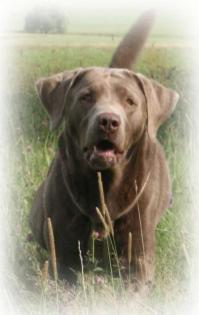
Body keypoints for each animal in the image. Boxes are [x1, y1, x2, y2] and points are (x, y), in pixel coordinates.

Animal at [29, 11, 179, 294]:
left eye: (130, 102)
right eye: (86, 97)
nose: (108, 121)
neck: (104, 187)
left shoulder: (138, 256)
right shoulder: (63, 254)